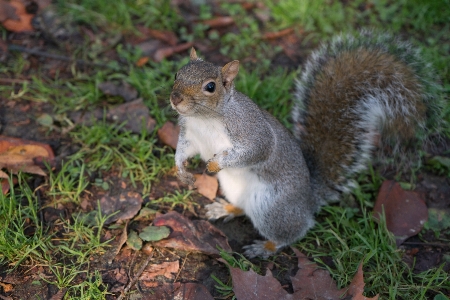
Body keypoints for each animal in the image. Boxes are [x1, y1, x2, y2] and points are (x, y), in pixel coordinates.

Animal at [171, 29, 444, 258]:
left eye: (210, 86)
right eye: (177, 74)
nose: (176, 99)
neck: (205, 119)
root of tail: (309, 200)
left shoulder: (250, 130)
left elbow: (256, 151)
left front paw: (216, 163)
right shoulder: (190, 134)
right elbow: (184, 150)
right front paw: (181, 170)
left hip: (272, 208)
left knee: (294, 231)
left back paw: (266, 247)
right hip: (233, 188)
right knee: (243, 208)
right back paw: (226, 209)